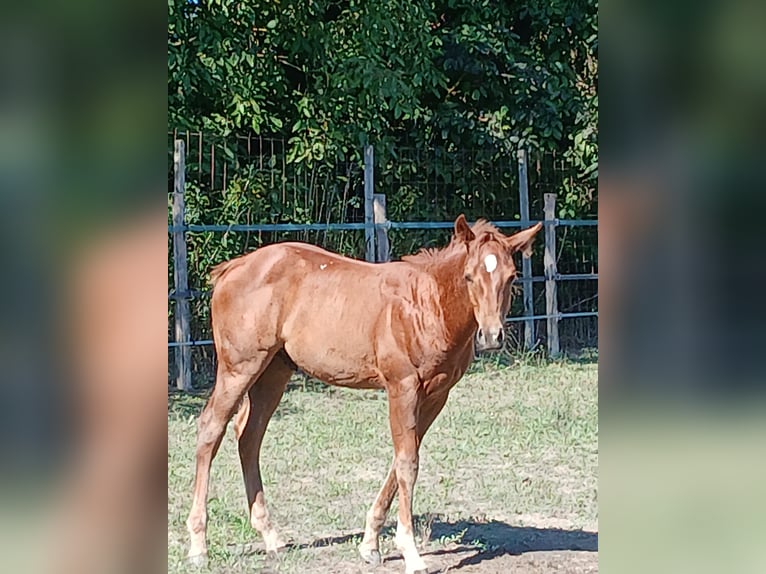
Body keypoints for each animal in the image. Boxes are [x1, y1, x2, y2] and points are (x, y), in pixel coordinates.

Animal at [186, 214, 542, 574]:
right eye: (469, 276)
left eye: (511, 276)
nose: (492, 336)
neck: (427, 305)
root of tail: (232, 268)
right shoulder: (402, 387)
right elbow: (407, 463)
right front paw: (411, 553)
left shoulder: (436, 395)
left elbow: (403, 459)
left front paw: (370, 544)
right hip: (239, 368)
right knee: (211, 429)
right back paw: (199, 545)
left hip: (274, 371)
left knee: (249, 436)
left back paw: (271, 536)